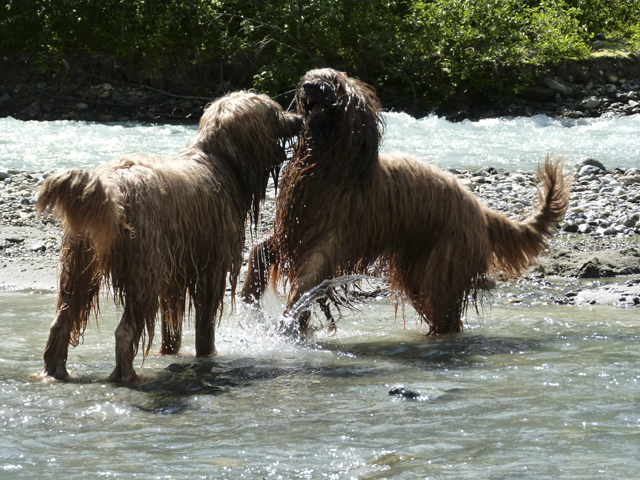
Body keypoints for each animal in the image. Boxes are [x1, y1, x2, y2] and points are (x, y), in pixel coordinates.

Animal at [38, 91, 302, 382]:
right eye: (276, 111)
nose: (299, 119)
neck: (223, 161)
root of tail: (112, 188)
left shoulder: (175, 268)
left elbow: (171, 323)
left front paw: (170, 352)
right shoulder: (211, 266)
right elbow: (205, 324)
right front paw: (209, 357)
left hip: (79, 261)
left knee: (61, 320)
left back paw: (55, 371)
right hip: (143, 266)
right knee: (125, 330)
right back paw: (126, 376)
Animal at [242, 68, 572, 334]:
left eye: (331, 83)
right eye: (312, 76)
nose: (308, 85)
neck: (327, 166)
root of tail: (481, 209)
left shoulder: (333, 238)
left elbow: (306, 282)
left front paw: (286, 326)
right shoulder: (293, 228)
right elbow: (260, 250)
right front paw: (248, 296)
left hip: (442, 263)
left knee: (445, 312)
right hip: (416, 265)